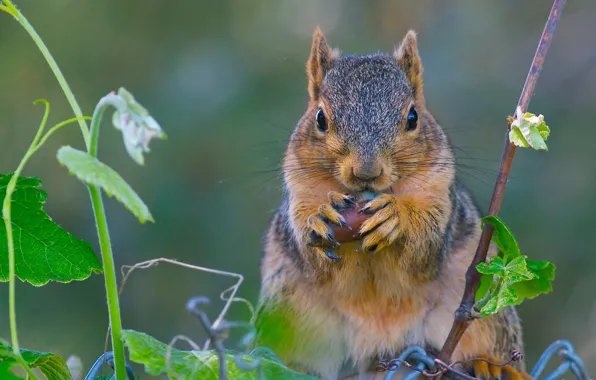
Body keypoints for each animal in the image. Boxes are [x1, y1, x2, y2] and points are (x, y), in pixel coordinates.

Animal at [251, 27, 532, 380]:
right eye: (320, 119)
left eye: (412, 117)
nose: (366, 172)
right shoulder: (300, 191)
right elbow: (313, 255)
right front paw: (320, 217)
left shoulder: (439, 194)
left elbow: (425, 248)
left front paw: (396, 218)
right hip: (289, 311)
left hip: (486, 315)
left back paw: (489, 365)